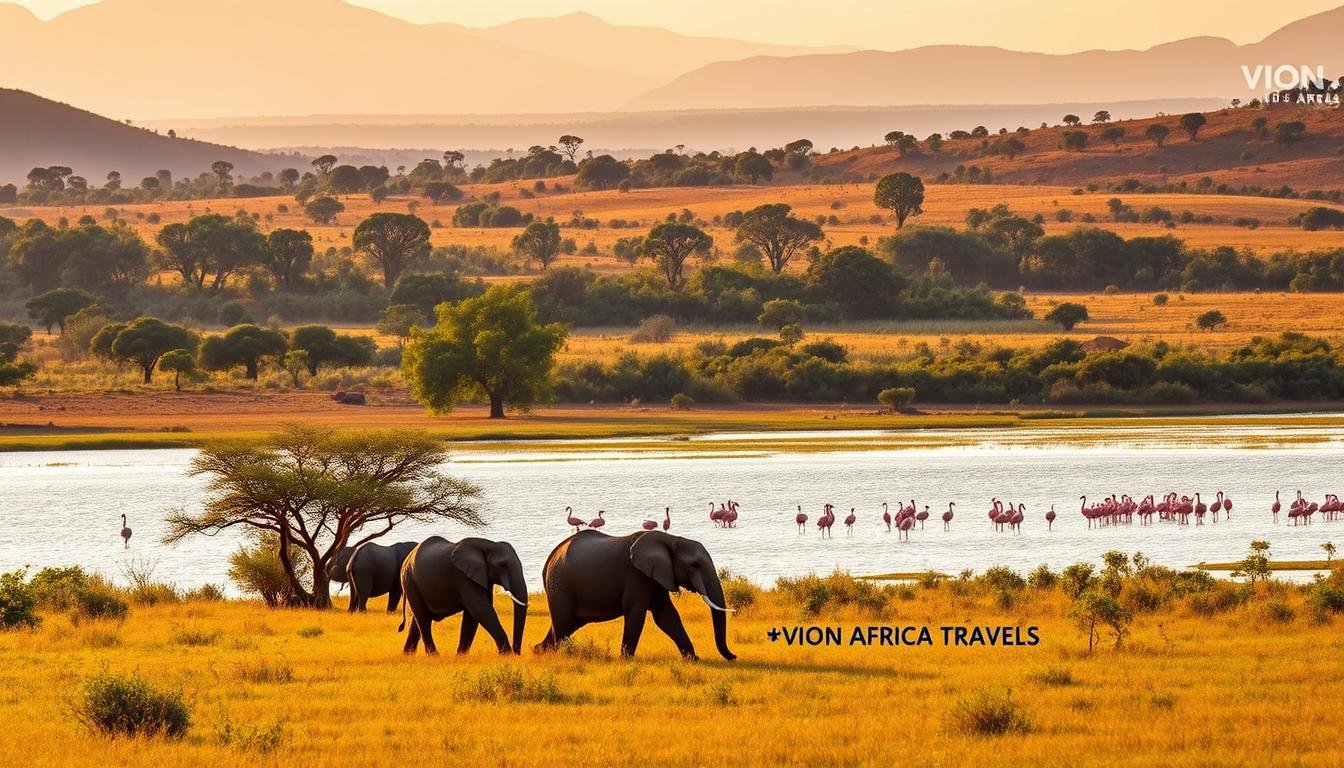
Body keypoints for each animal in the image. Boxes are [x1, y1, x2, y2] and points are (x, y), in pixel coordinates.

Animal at [395, 535, 526, 656]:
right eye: (502, 565)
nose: (517, 653)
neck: (488, 544)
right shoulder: (463, 577)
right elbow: (480, 608)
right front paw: (507, 655)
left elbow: (473, 614)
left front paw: (461, 656)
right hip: (410, 582)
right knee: (423, 619)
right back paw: (434, 656)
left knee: (416, 620)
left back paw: (407, 655)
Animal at [532, 529, 736, 661]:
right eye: (694, 565)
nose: (733, 656)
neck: (670, 539)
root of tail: (548, 562)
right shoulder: (636, 576)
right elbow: (636, 613)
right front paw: (626, 660)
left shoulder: (655, 576)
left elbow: (667, 616)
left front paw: (694, 659)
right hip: (561, 586)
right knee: (563, 625)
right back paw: (559, 656)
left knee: (565, 625)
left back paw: (538, 651)